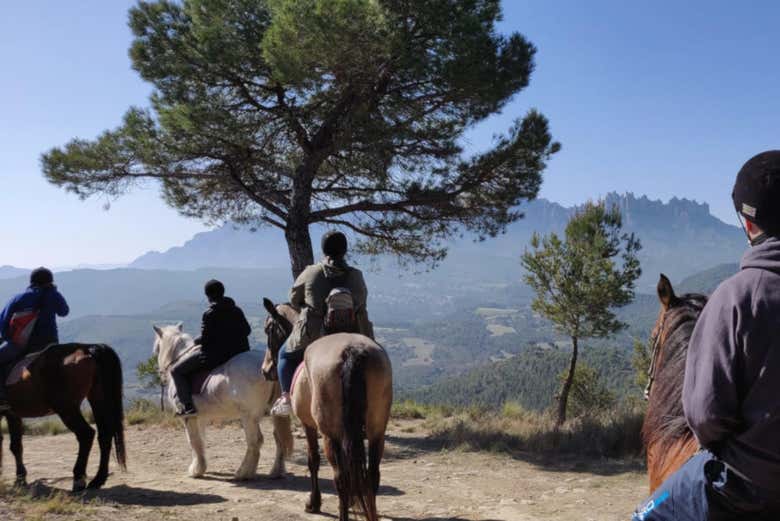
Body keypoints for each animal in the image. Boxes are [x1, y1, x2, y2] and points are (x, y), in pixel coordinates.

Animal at [0, 344, 126, 490]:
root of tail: (88, 349)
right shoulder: (12, 415)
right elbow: (16, 446)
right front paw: (20, 480)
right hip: (97, 398)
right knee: (104, 435)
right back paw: (97, 480)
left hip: (66, 409)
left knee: (86, 434)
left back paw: (79, 479)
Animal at [152, 324, 292, 480]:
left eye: (157, 348)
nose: (160, 373)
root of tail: (268, 370)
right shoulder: (200, 417)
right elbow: (201, 440)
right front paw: (200, 466)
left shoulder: (188, 417)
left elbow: (194, 440)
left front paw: (196, 470)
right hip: (273, 413)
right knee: (279, 438)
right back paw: (276, 472)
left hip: (249, 417)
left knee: (255, 441)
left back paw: (243, 473)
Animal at [262, 296, 394, 520]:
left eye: (268, 329)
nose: (265, 370)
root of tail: (352, 351)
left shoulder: (308, 425)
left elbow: (313, 460)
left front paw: (313, 502)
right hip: (377, 430)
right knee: (372, 476)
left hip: (330, 434)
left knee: (340, 478)